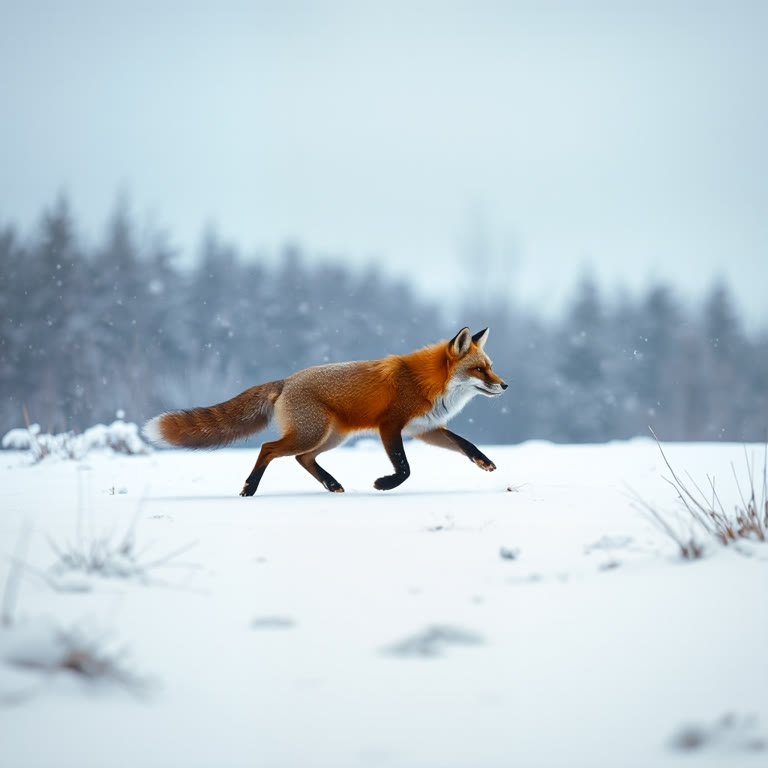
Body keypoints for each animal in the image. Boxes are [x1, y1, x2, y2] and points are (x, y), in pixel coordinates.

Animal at [142, 327, 507, 496]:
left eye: (490, 366)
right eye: (479, 370)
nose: (505, 385)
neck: (426, 383)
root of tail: (286, 381)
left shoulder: (424, 428)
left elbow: (465, 443)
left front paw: (485, 462)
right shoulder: (390, 425)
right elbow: (404, 468)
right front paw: (384, 484)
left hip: (330, 438)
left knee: (302, 459)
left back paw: (331, 485)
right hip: (311, 434)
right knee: (268, 448)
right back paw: (249, 488)